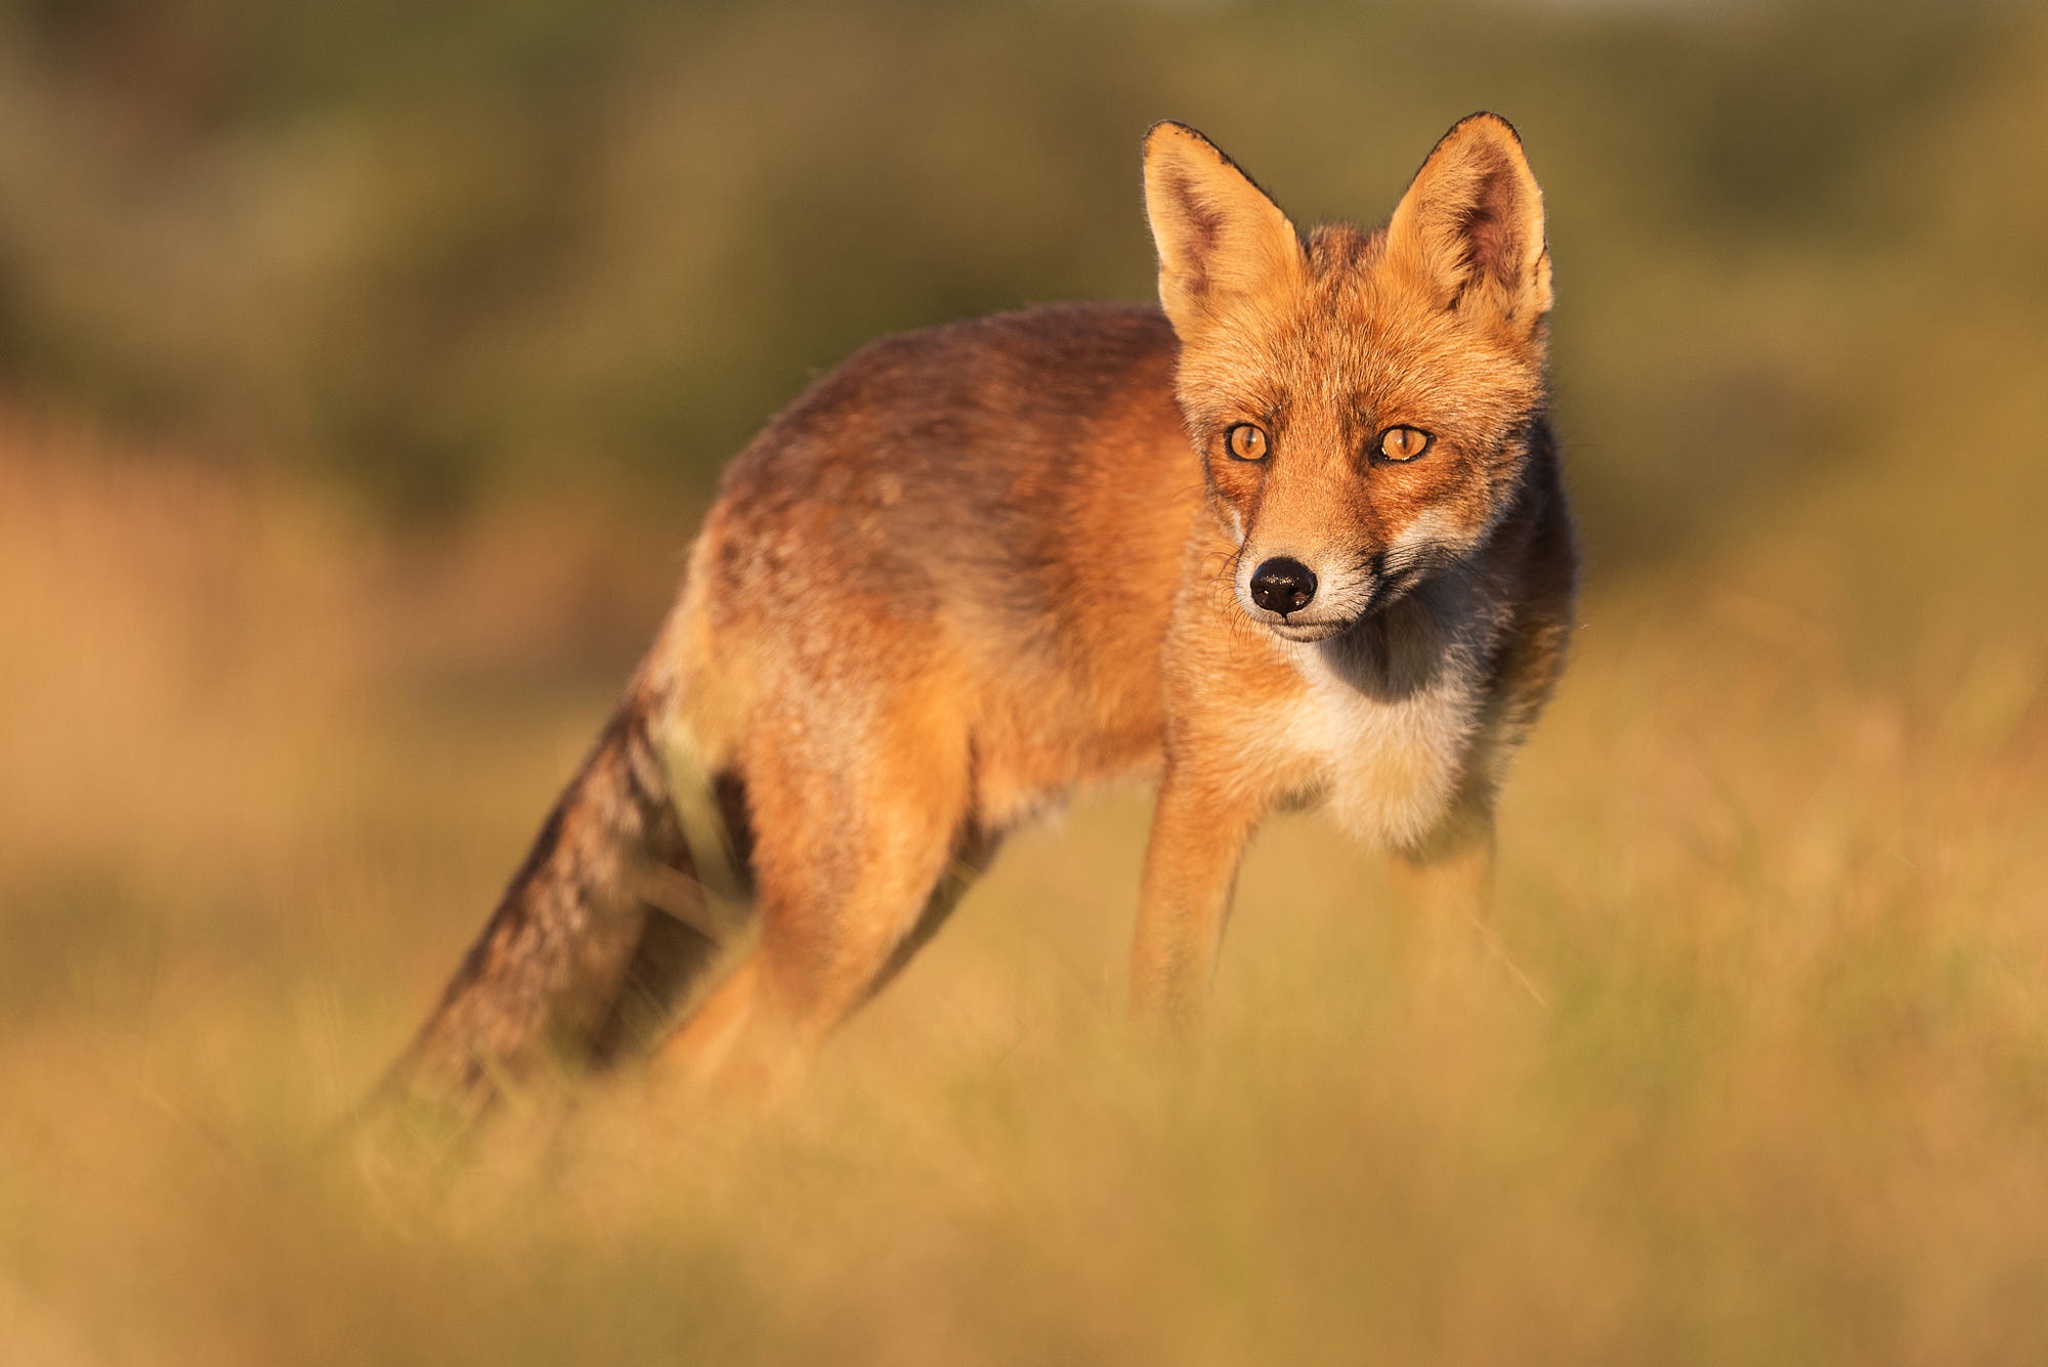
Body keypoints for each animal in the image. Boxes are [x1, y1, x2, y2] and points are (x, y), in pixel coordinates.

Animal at [376, 114, 1572, 1123]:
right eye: (1247, 442)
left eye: (1399, 445)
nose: (1276, 585)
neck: (1389, 670)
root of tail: (752, 465)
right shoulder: (1204, 795)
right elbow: (1169, 1031)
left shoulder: (1449, 813)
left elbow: (1447, 1035)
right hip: (872, 883)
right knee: (699, 1077)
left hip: (916, 877)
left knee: (683, 1074)